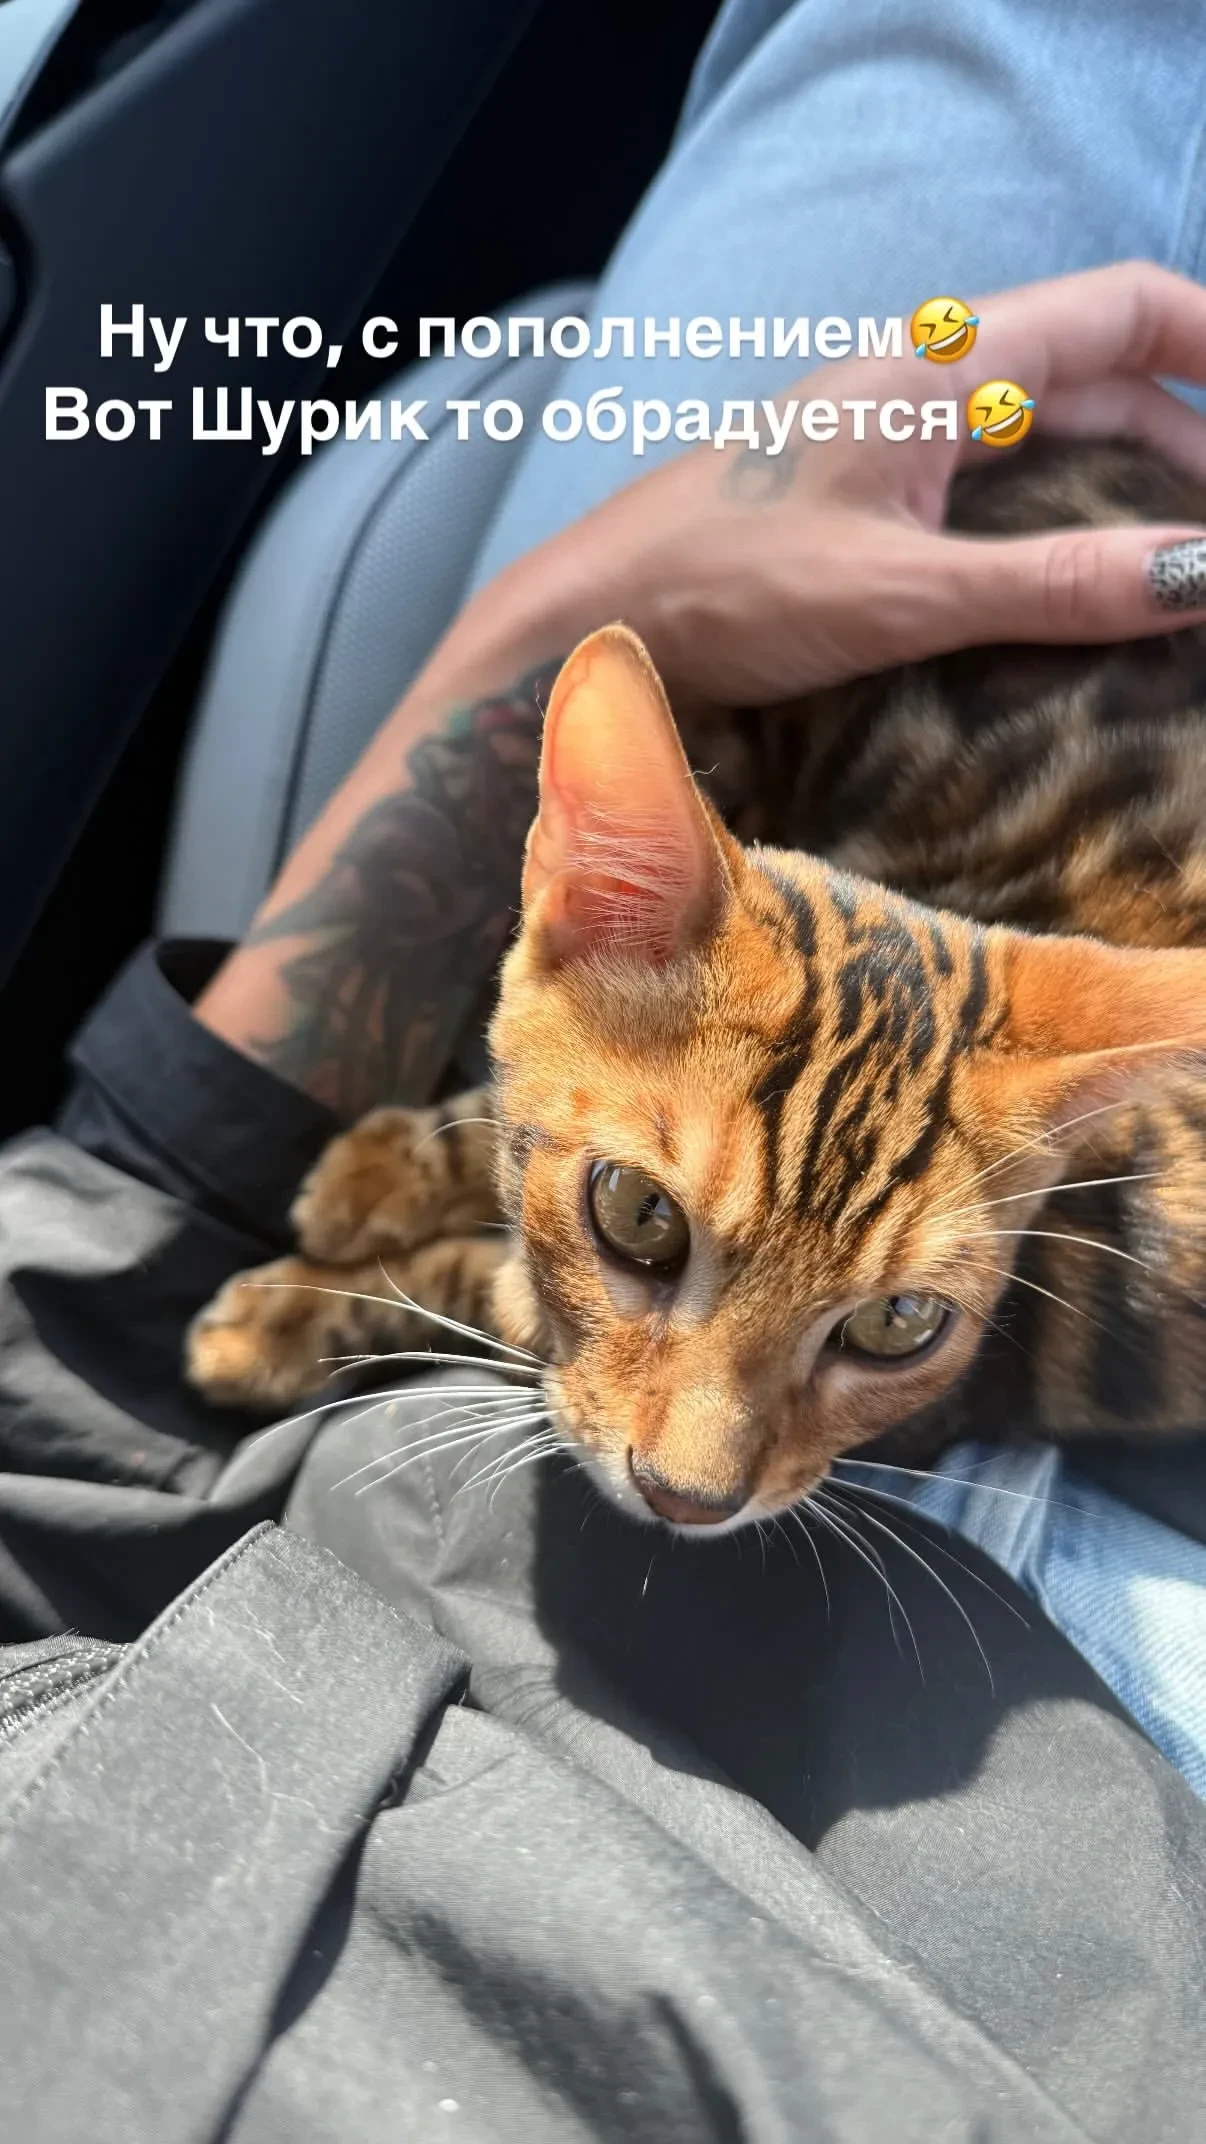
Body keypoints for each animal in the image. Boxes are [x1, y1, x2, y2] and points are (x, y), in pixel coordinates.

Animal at [187, 440, 1206, 1529]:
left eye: (900, 1322)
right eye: (641, 1213)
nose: (687, 1500)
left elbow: (490, 1293)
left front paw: (283, 1317)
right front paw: (380, 1171)